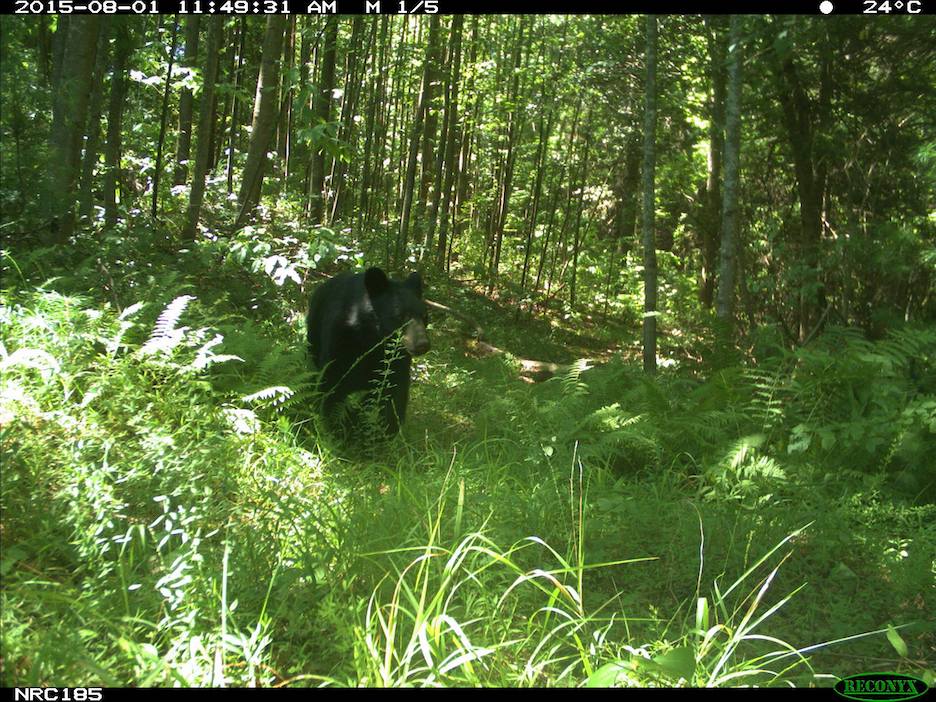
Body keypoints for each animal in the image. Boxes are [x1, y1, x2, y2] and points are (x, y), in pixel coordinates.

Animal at [306, 268, 430, 438]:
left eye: (425, 316)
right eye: (401, 316)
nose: (423, 344)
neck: (372, 338)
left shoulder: (396, 360)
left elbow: (394, 393)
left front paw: (384, 434)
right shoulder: (339, 341)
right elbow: (332, 385)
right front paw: (339, 431)